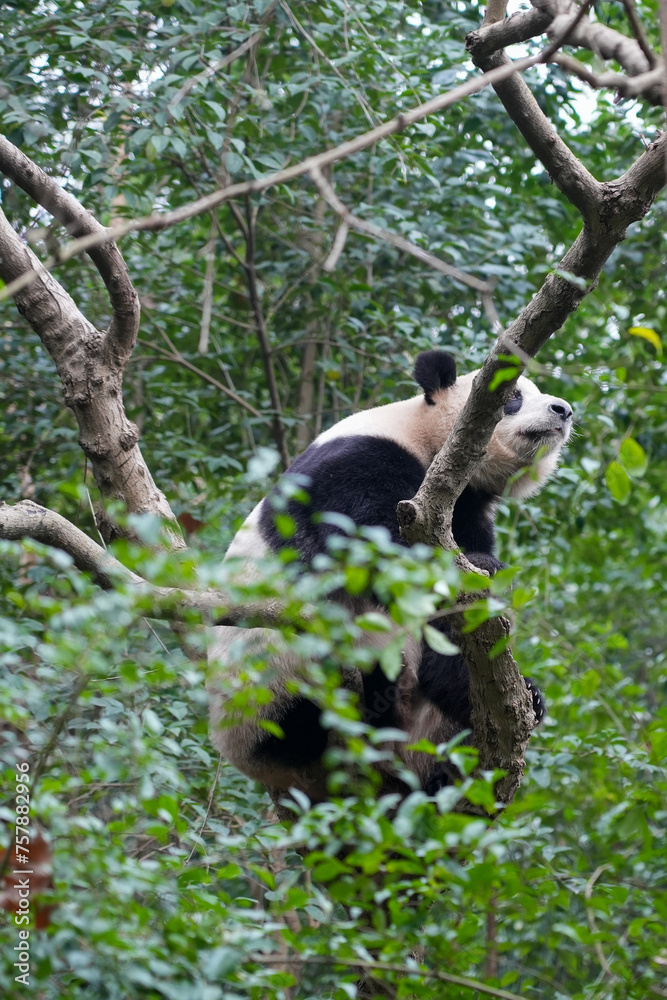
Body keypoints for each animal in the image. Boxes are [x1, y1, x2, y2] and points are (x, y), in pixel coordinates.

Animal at [208, 350, 573, 802]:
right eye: (514, 396)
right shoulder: (359, 461)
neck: (428, 441)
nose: (563, 410)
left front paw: (531, 692)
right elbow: (370, 547)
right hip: (270, 688)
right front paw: (484, 566)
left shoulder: (466, 506)